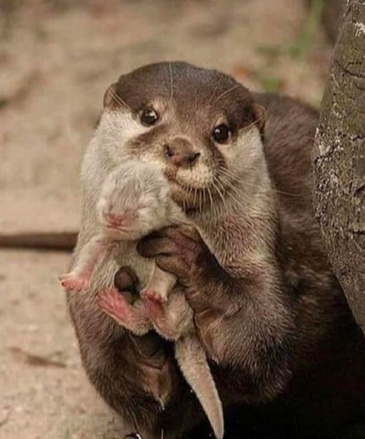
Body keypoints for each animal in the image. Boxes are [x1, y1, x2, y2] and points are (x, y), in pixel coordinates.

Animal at [61, 162, 223, 439]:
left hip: (183, 303)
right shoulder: (107, 236)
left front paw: (155, 291)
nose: (115, 216)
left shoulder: (170, 238)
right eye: (108, 199)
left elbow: (166, 271)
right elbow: (92, 250)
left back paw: (154, 309)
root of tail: (189, 332)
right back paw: (122, 308)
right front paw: (75, 279)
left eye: (140, 206)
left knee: (161, 327)